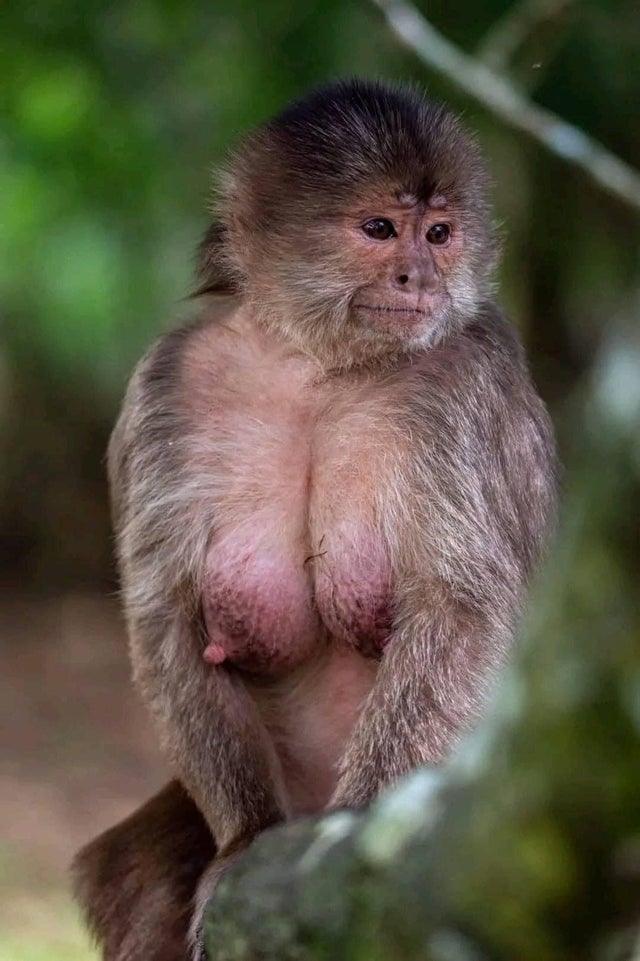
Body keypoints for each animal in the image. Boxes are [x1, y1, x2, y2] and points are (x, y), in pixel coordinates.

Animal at [72, 79, 557, 961]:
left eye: (440, 233)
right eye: (380, 230)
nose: (418, 274)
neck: (317, 363)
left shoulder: (470, 376)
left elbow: (461, 609)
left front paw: (355, 828)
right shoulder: (166, 380)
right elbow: (166, 617)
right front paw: (243, 837)